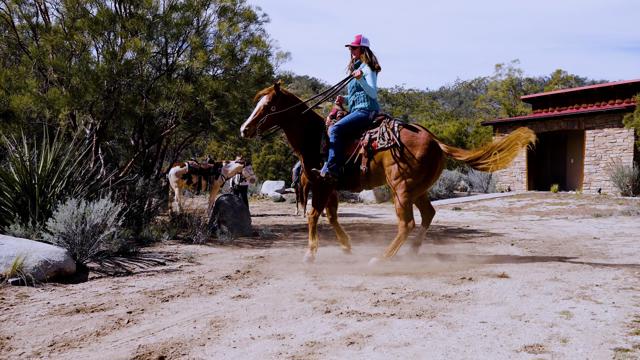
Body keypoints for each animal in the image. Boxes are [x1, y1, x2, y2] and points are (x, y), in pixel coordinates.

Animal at [240, 84, 536, 264]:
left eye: (268, 106)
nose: (245, 129)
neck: (317, 138)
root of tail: (435, 141)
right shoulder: (332, 186)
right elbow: (331, 216)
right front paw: (346, 246)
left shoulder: (322, 183)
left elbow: (314, 216)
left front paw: (310, 254)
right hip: (418, 189)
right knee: (428, 215)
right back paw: (412, 251)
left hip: (401, 188)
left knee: (407, 223)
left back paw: (383, 258)